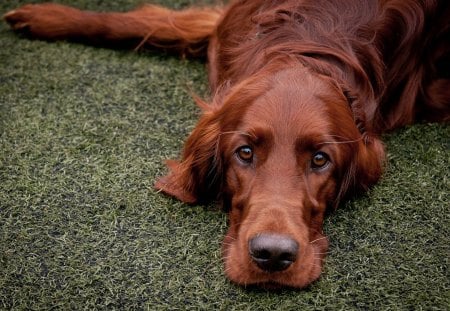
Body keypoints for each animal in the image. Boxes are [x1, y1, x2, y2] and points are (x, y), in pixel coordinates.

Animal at [4, 0, 450, 288]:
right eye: (245, 153)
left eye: (321, 160)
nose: (273, 255)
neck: (304, 47)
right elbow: (147, 24)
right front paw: (43, 17)